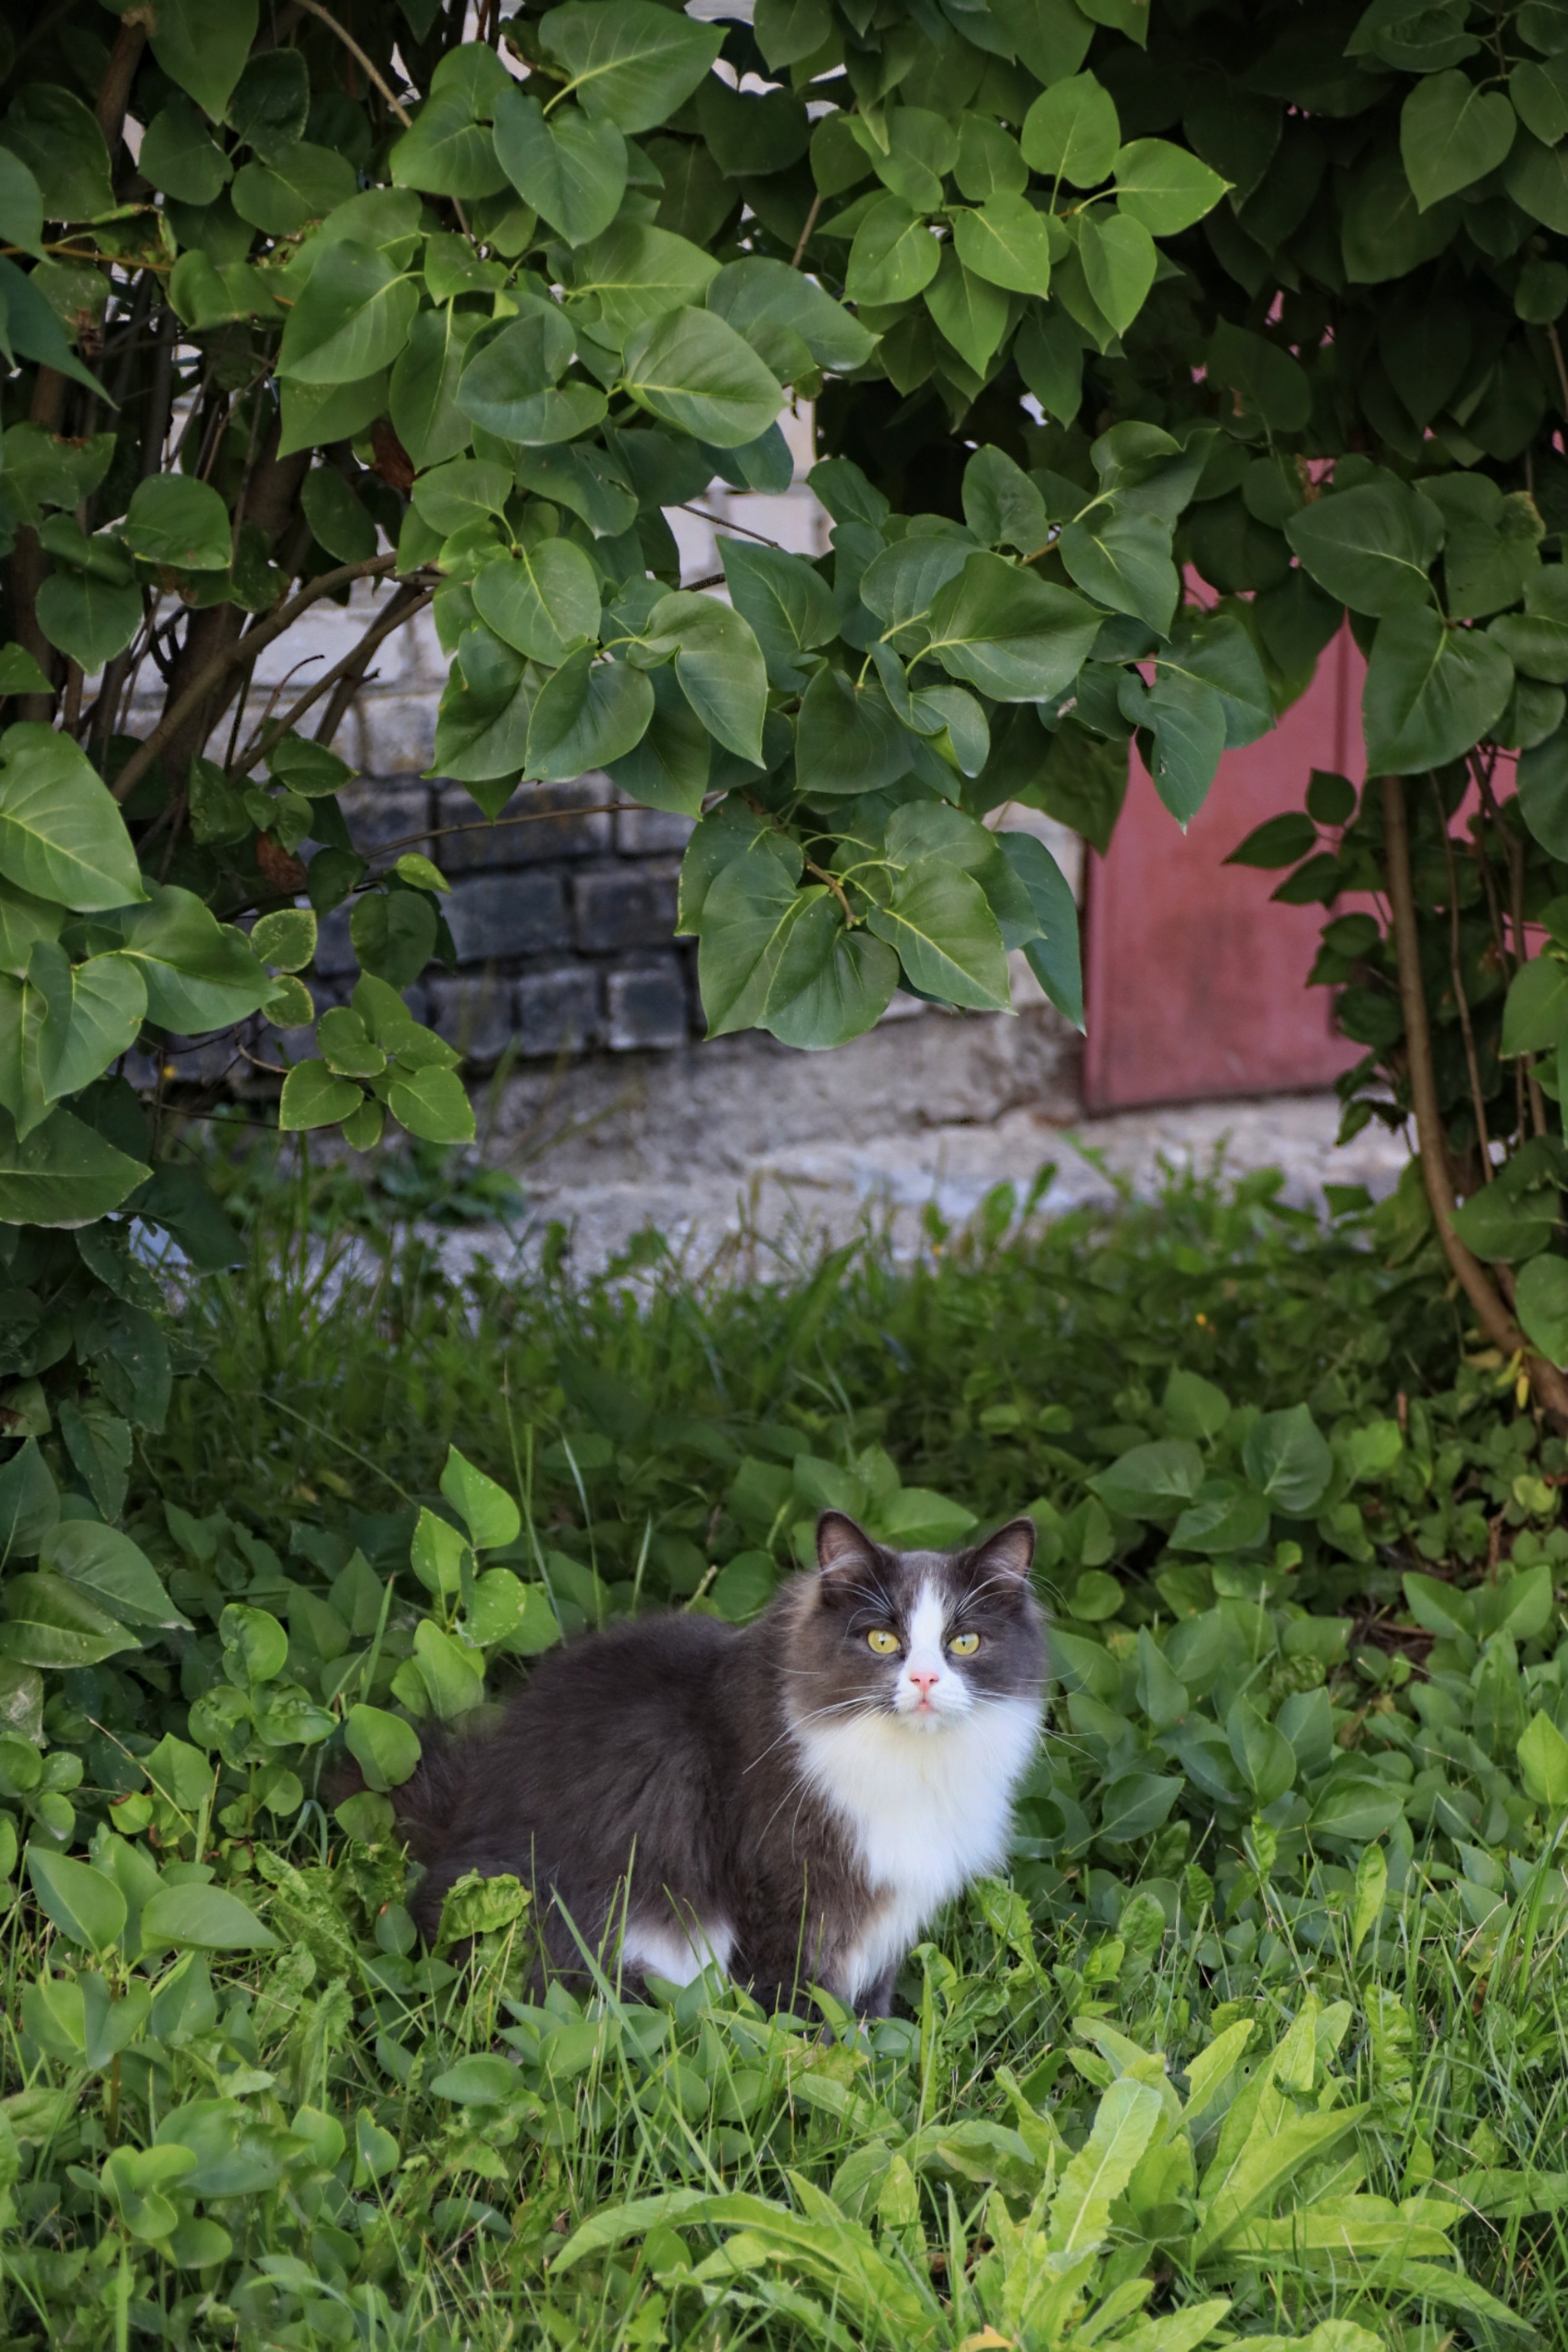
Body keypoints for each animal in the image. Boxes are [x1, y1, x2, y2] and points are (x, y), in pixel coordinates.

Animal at [394, 1514, 1044, 2013]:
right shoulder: (779, 1894)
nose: (926, 1680)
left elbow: (870, 2007)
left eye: (964, 1643)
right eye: (883, 1641)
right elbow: (797, 2006)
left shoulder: (884, 1910)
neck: (911, 1765)